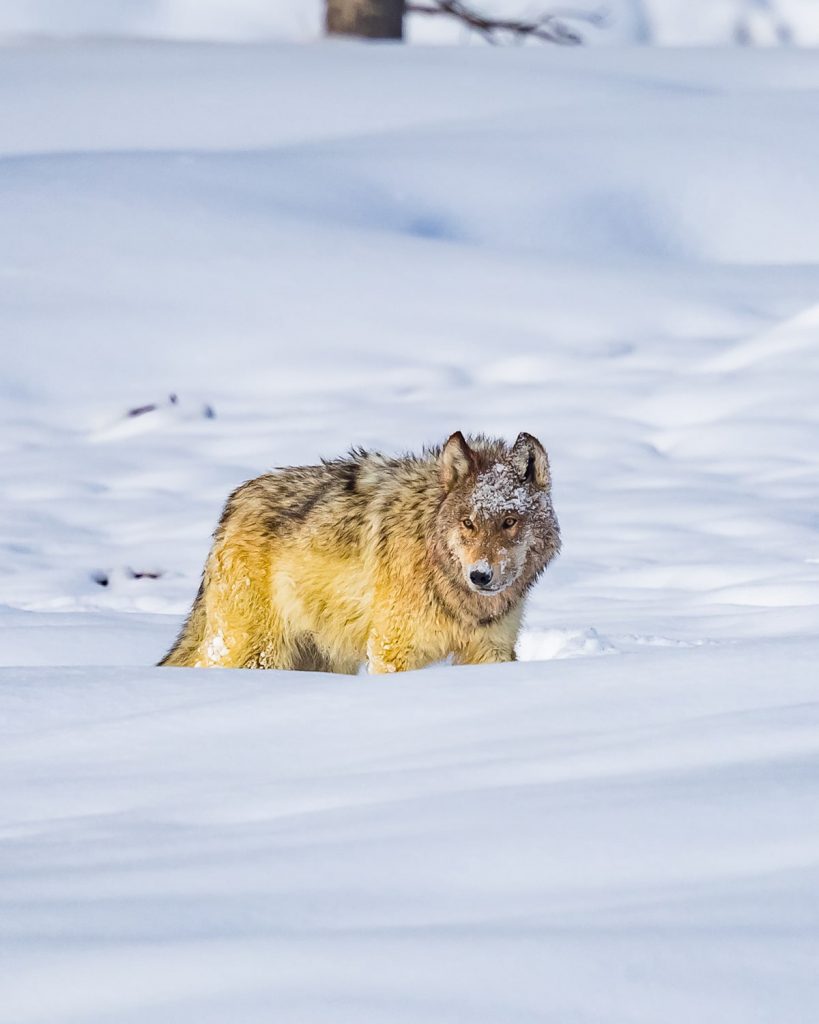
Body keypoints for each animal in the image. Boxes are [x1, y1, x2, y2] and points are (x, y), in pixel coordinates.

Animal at [157, 430, 561, 671]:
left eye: (509, 521)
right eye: (468, 523)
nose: (480, 576)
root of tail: (233, 503)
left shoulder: (491, 651)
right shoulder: (393, 649)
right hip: (259, 652)